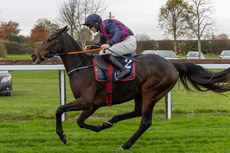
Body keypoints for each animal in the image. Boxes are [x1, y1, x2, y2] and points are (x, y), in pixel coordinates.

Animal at [31, 26, 230, 151]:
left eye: (49, 39)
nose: (34, 55)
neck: (82, 67)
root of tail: (172, 65)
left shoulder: (85, 101)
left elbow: (59, 110)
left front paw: (62, 136)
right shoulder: (92, 104)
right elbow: (80, 121)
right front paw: (100, 126)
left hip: (151, 92)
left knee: (145, 122)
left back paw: (125, 145)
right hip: (139, 93)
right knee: (136, 112)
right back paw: (111, 121)